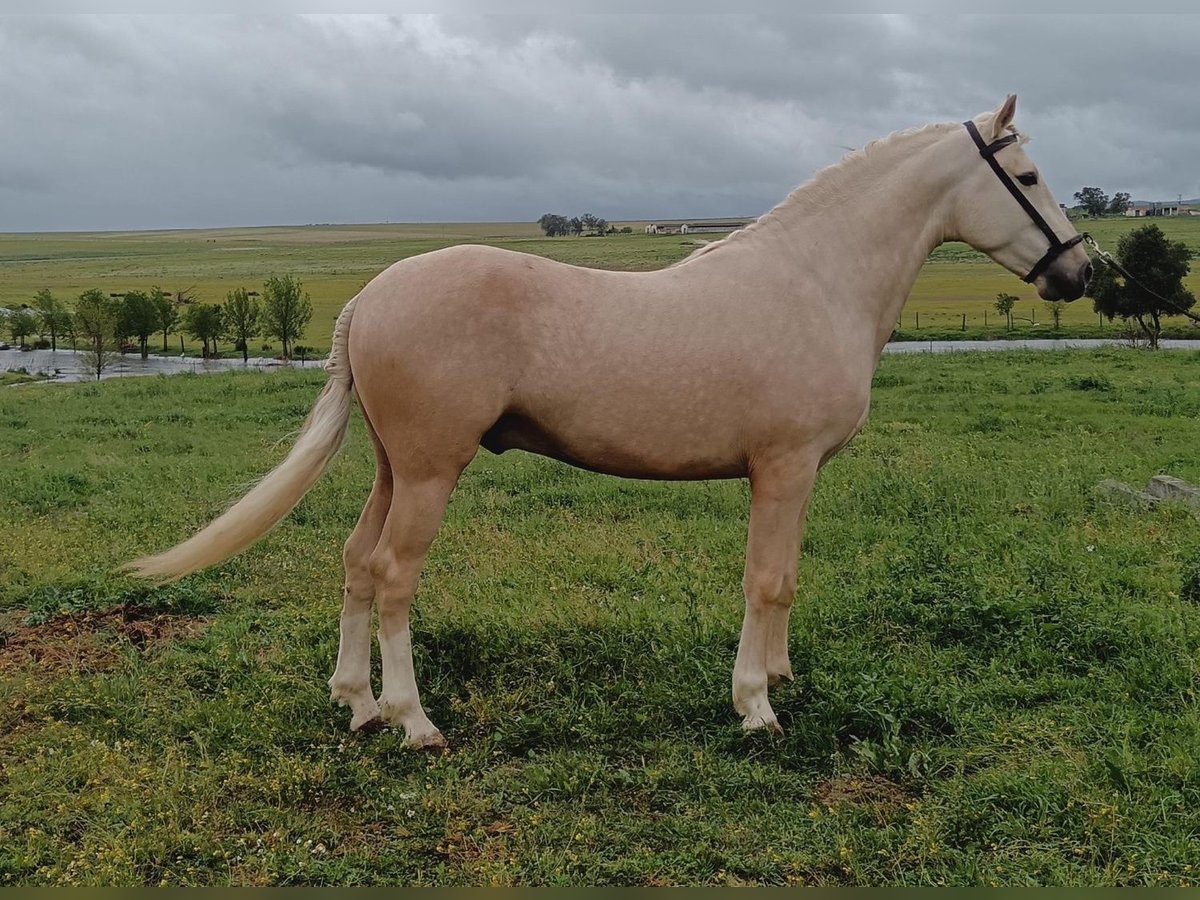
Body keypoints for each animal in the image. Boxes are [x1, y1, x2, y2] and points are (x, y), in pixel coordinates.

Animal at [126, 95, 1094, 748]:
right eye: (1029, 178)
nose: (1081, 272)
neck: (817, 282)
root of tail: (369, 295)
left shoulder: (800, 477)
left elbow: (786, 579)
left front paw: (780, 676)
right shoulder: (781, 469)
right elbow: (766, 581)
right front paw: (756, 706)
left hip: (393, 467)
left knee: (358, 563)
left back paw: (359, 704)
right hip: (432, 471)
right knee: (396, 574)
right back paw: (413, 720)